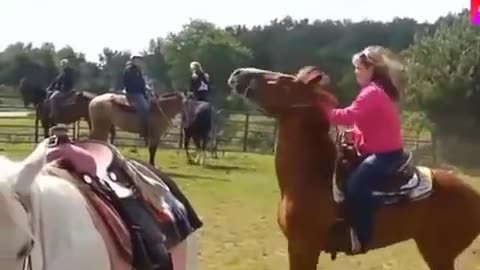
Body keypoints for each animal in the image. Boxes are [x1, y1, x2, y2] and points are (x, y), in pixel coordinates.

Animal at [228, 66, 480, 270]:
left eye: (282, 81)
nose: (238, 73)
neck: (311, 178)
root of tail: (474, 194)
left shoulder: (304, 248)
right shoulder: (296, 248)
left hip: (438, 253)